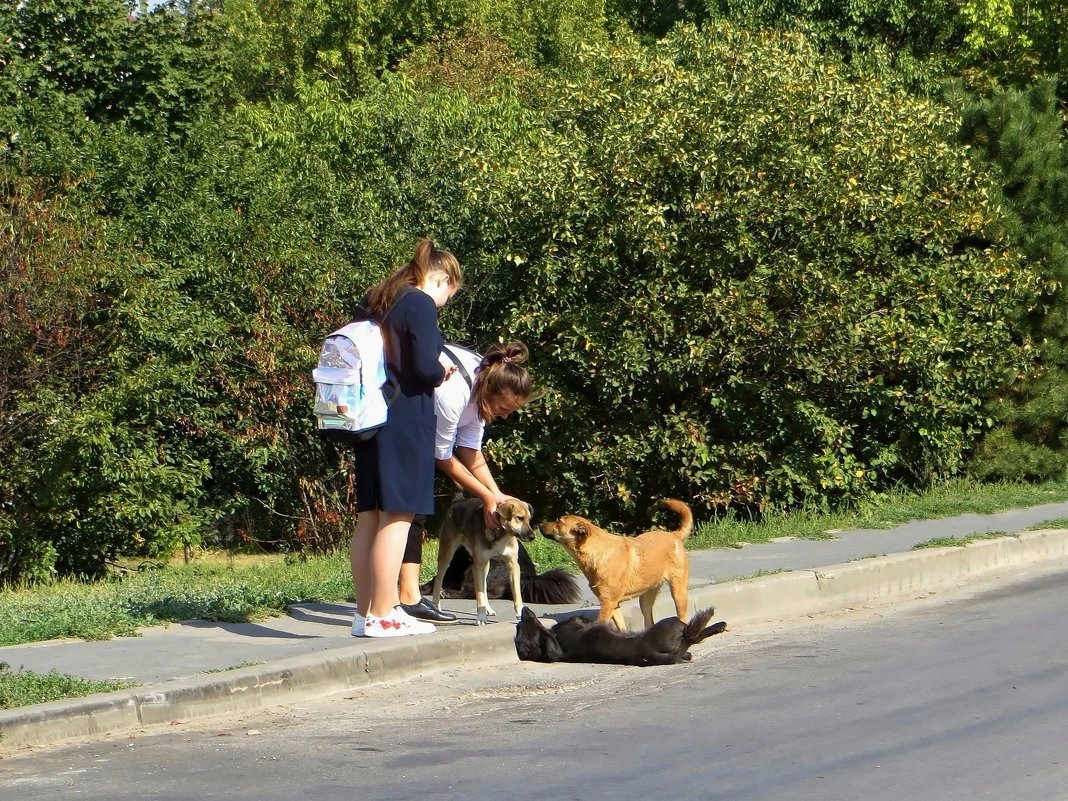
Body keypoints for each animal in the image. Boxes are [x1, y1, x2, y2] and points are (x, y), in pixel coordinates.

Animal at [542, 499, 692, 632]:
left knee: (682, 618)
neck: (597, 552)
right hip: (646, 598)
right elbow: (622, 628)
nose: (539, 524)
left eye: (558, 521)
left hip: (678, 593)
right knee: (649, 621)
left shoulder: (607, 605)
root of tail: (674, 535)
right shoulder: (613, 605)